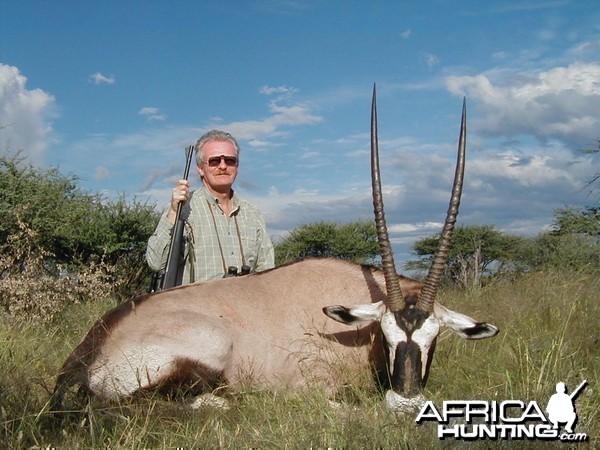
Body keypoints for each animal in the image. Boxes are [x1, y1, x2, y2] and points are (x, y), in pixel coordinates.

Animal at [50, 86, 496, 414]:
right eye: (386, 336)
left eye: (433, 337)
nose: (405, 402)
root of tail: (84, 358)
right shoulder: (313, 386)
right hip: (209, 345)